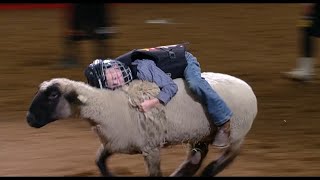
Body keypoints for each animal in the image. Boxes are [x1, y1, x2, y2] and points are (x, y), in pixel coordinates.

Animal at [26, 71, 258, 176]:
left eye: (53, 95)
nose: (29, 119)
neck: (109, 106)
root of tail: (247, 87)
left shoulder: (151, 148)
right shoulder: (115, 142)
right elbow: (99, 162)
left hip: (237, 132)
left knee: (230, 154)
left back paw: (211, 170)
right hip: (201, 134)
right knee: (194, 160)